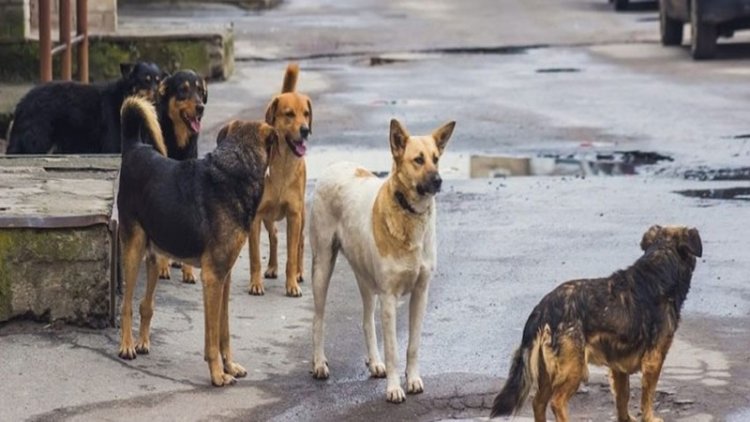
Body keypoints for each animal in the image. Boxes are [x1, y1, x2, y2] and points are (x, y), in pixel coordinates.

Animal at [6, 61, 163, 154]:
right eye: (145, 81)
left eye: (158, 81)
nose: (157, 95)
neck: (124, 96)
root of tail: (22, 103)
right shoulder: (113, 145)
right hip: (36, 141)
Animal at [115, 97, 274, 388]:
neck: (235, 168)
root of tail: (134, 147)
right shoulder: (212, 278)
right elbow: (211, 338)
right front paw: (217, 374)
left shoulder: (224, 277)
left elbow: (224, 331)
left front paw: (230, 366)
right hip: (133, 249)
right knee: (127, 305)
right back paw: (127, 345)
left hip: (154, 255)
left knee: (145, 305)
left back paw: (142, 342)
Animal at [308, 118, 456, 402]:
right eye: (418, 160)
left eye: (436, 159)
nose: (439, 181)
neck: (410, 214)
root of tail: (335, 165)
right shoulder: (389, 297)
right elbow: (394, 350)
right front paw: (394, 388)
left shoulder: (420, 293)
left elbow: (412, 345)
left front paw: (413, 379)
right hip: (322, 267)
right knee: (318, 319)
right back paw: (319, 363)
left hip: (365, 279)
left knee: (366, 321)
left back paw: (375, 362)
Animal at [494, 226, 704, 422]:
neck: (660, 263)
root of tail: (542, 308)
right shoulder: (654, 359)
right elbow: (648, 396)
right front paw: (649, 417)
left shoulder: (618, 366)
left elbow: (623, 396)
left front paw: (625, 418)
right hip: (574, 368)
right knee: (556, 402)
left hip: (548, 371)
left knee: (538, 402)